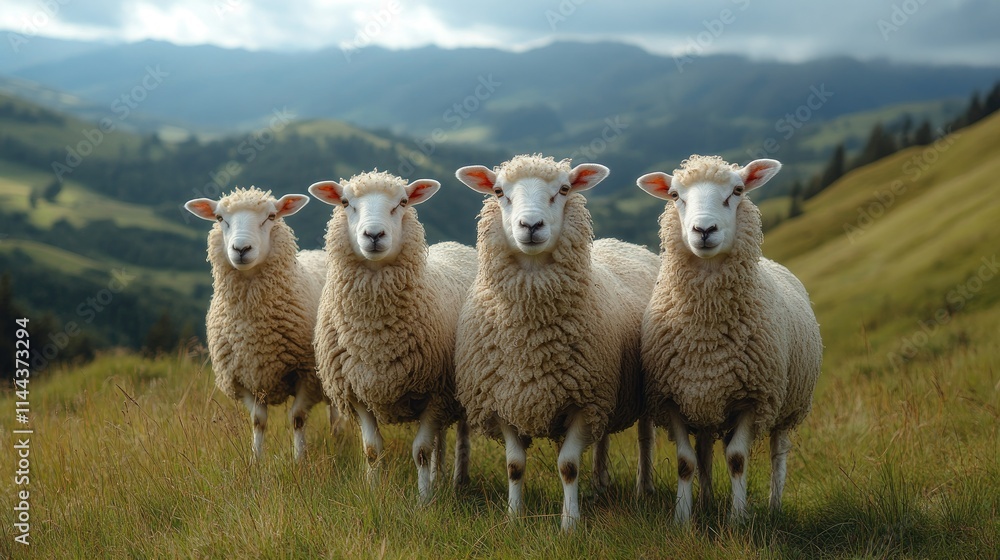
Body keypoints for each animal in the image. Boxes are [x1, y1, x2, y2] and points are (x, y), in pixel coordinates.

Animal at [185, 186, 336, 461]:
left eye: (271, 216)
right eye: (220, 218)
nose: (241, 248)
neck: (254, 329)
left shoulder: (307, 374)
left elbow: (297, 418)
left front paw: (299, 460)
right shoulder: (243, 377)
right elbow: (258, 421)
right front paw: (256, 460)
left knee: (335, 410)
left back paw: (338, 438)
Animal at [308, 170, 476, 503]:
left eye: (402, 202)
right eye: (345, 202)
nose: (373, 235)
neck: (376, 338)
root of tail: (454, 244)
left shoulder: (436, 391)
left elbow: (421, 451)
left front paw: (424, 502)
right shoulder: (357, 390)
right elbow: (372, 450)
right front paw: (374, 494)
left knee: (460, 434)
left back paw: (457, 480)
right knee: (440, 438)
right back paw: (439, 477)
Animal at [454, 154, 659, 531]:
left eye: (564, 189)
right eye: (498, 191)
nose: (531, 225)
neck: (532, 340)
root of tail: (619, 243)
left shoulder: (583, 401)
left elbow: (568, 466)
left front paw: (570, 524)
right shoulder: (503, 400)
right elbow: (514, 465)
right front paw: (514, 518)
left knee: (645, 438)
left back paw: (644, 488)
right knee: (603, 438)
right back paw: (600, 485)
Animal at [636, 155, 823, 524]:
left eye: (737, 190)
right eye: (675, 195)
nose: (704, 230)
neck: (707, 333)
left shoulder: (754, 398)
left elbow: (737, 458)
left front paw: (738, 519)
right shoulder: (671, 398)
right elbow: (686, 462)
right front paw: (681, 520)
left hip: (787, 405)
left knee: (778, 453)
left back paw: (774, 506)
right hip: (707, 403)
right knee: (706, 450)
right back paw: (706, 502)